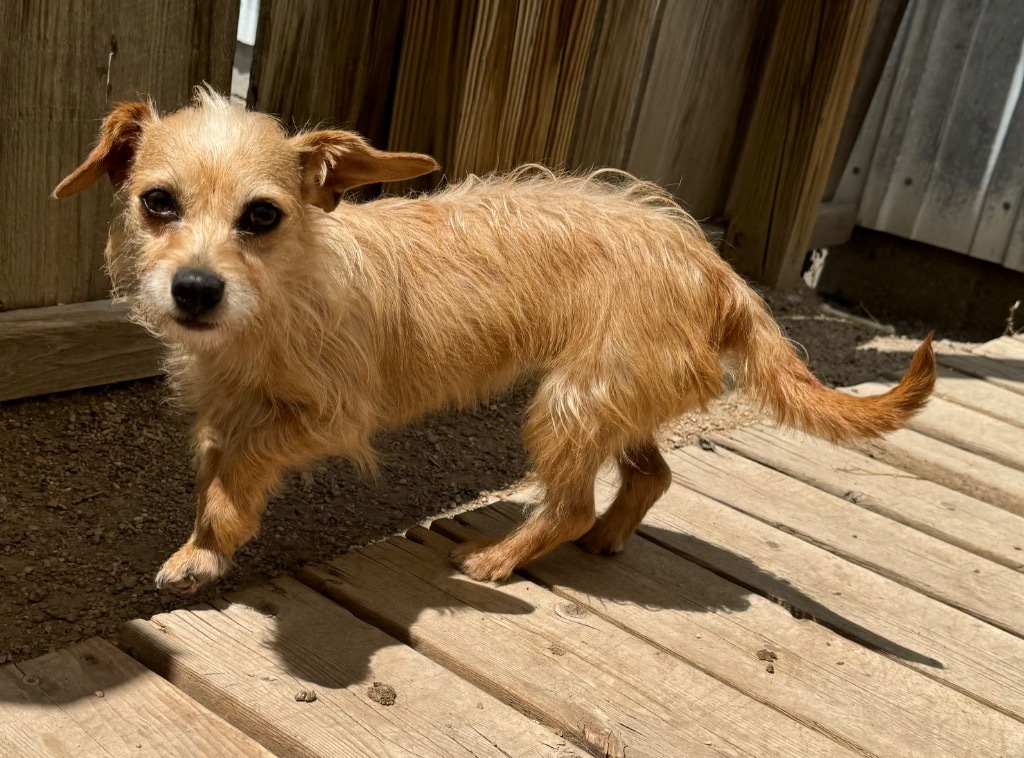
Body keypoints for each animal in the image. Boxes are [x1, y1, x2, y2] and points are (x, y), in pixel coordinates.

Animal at [54, 86, 937, 590]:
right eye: (158, 202)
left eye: (263, 215)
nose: (196, 289)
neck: (280, 295)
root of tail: (713, 265)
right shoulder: (220, 412)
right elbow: (217, 465)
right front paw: (207, 538)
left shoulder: (331, 418)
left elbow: (244, 464)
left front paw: (212, 542)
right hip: (613, 399)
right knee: (649, 475)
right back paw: (609, 537)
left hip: (569, 405)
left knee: (572, 503)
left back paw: (502, 558)